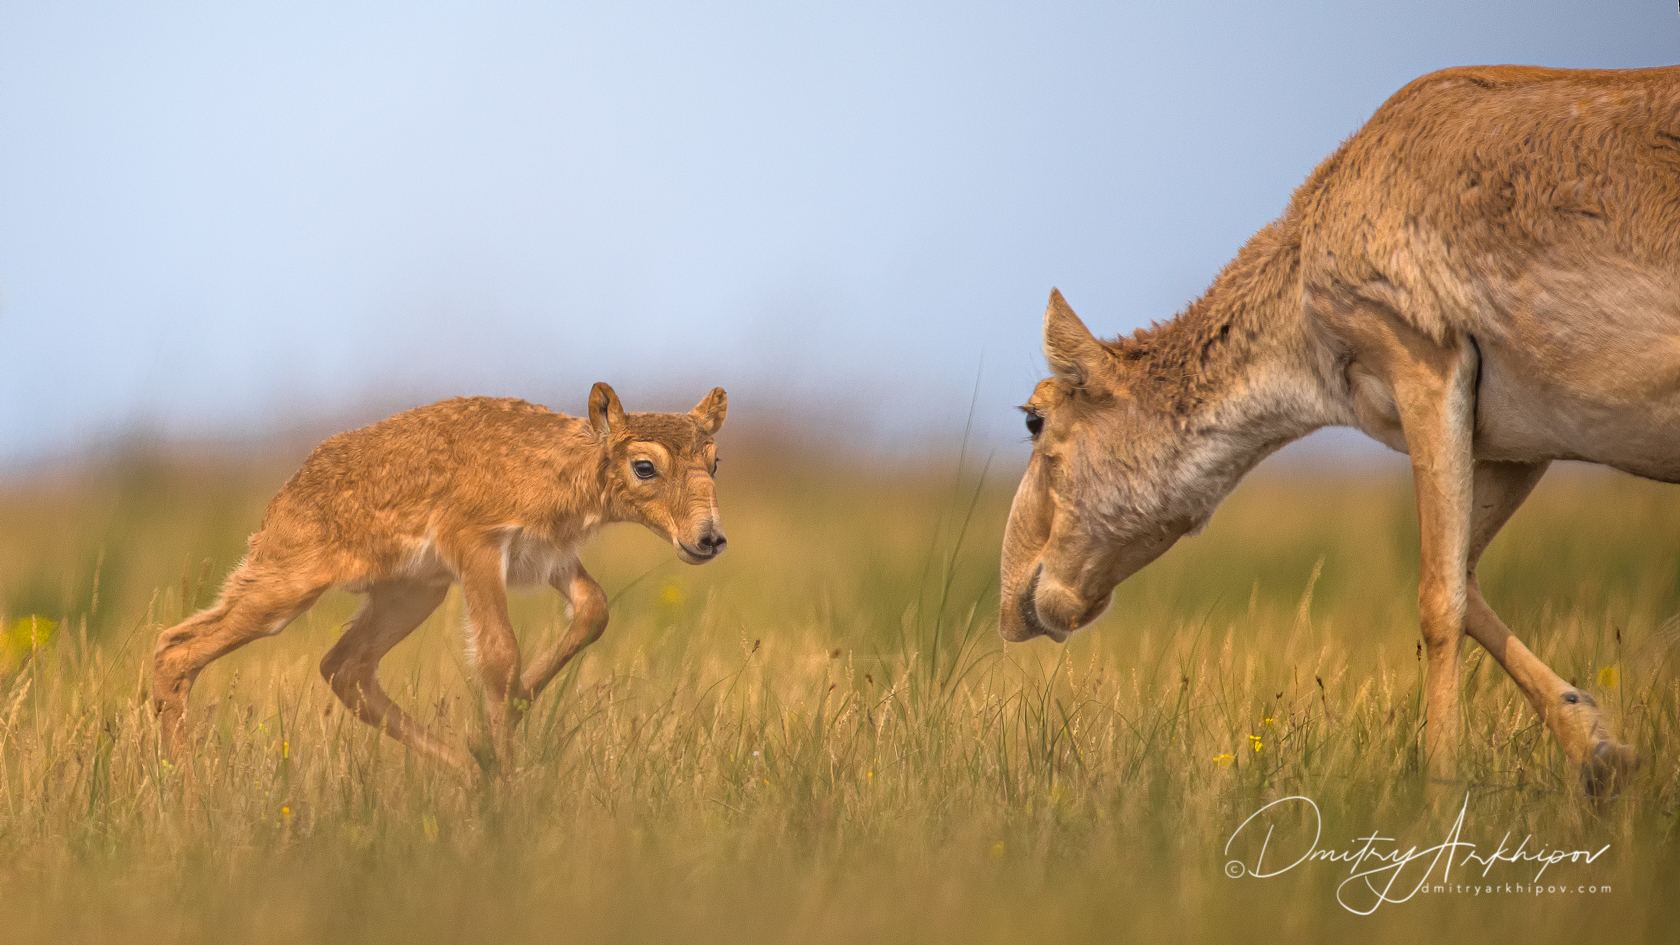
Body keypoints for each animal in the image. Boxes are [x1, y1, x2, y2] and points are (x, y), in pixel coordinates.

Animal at [1001, 62, 1673, 790]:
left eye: (1034, 418)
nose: (1013, 599)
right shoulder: (1516, 447)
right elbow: (1466, 581)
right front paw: (1601, 749)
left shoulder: (1425, 364)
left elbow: (1439, 601)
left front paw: (1441, 790)